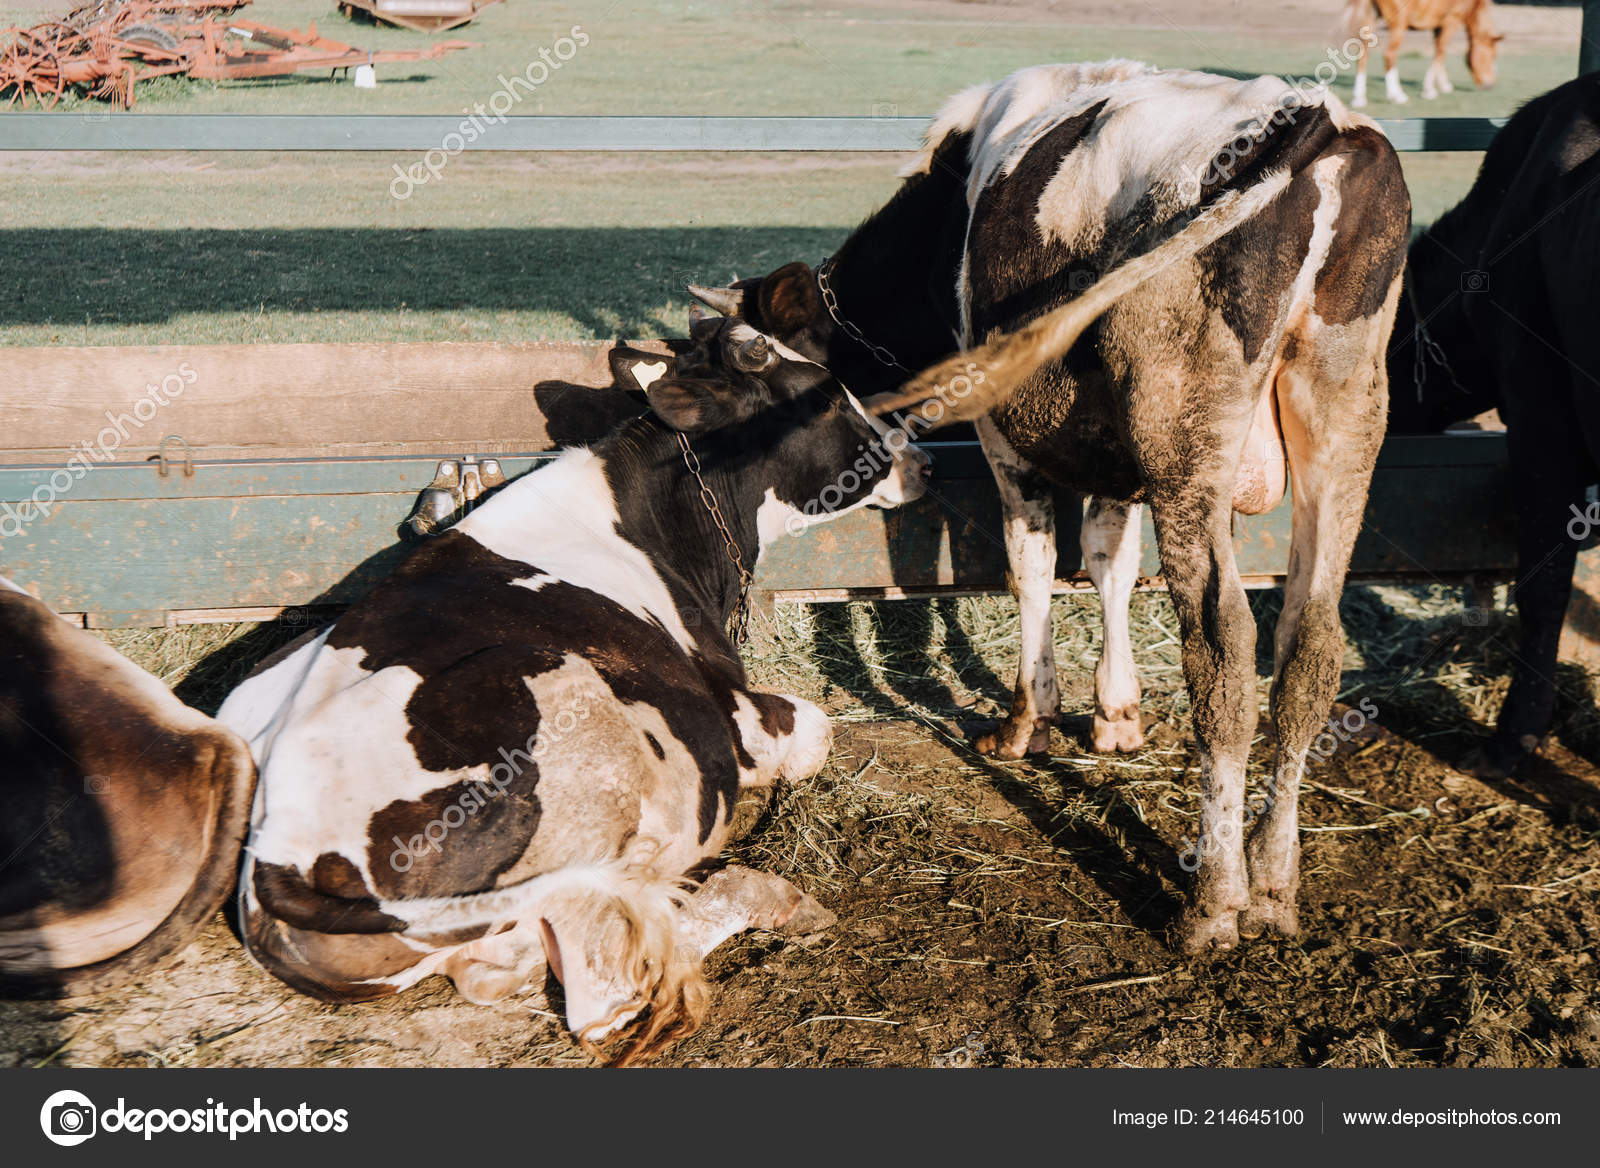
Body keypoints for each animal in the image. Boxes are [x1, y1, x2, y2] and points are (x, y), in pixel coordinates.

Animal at [215, 317, 930, 1064]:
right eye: (827, 397)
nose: (922, 462)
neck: (651, 521)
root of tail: (276, 846)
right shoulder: (740, 719)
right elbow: (818, 730)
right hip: (574, 715)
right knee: (608, 996)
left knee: (498, 966)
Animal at [690, 62, 1411, 951]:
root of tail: (1316, 113)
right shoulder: (1108, 448)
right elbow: (1108, 559)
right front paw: (1115, 715)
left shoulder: (1003, 427)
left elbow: (1030, 564)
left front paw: (1026, 720)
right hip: (1344, 409)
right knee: (1310, 645)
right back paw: (1275, 885)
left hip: (1186, 431)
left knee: (1223, 648)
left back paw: (1216, 899)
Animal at [1344, 0, 1502, 108]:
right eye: (1492, 56)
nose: (1490, 85)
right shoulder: (1451, 20)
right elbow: (1440, 51)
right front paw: (1429, 89)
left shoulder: (1438, 26)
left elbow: (1439, 52)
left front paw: (1443, 85)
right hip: (1399, 23)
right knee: (1389, 55)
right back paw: (1397, 95)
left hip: (1370, 19)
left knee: (1363, 56)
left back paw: (1359, 98)